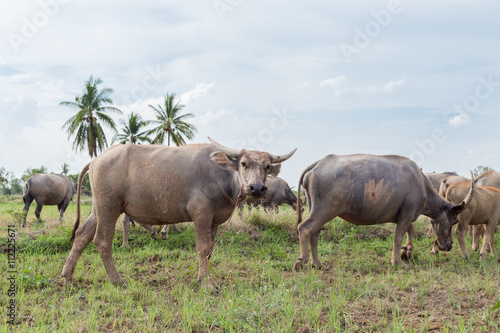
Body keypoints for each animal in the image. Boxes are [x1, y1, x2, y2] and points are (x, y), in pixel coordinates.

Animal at [62, 137, 296, 288]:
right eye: (244, 163)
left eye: (267, 167)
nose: (256, 188)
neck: (222, 177)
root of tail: (96, 159)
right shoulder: (201, 214)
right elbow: (202, 248)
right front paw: (207, 284)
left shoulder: (215, 220)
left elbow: (210, 249)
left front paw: (202, 277)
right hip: (109, 207)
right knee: (102, 241)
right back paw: (117, 280)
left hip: (98, 209)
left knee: (82, 236)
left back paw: (68, 276)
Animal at [294, 154, 474, 270]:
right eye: (455, 221)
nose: (449, 246)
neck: (421, 183)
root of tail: (318, 163)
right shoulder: (407, 214)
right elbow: (398, 237)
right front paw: (398, 261)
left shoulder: (406, 216)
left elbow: (411, 231)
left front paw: (407, 251)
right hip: (325, 210)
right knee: (304, 228)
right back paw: (302, 260)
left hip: (315, 208)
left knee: (314, 235)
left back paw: (317, 264)